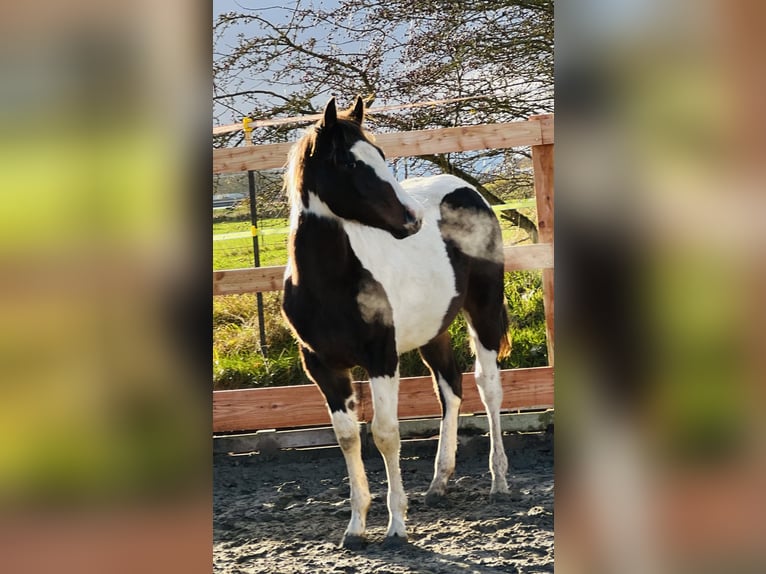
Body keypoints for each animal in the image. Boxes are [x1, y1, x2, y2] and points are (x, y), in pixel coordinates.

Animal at [284, 95, 516, 548]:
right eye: (350, 162)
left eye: (380, 154)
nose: (412, 219)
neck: (329, 284)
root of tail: (469, 193)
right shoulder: (321, 365)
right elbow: (347, 437)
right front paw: (355, 528)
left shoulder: (381, 357)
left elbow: (386, 433)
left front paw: (396, 525)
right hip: (433, 330)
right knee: (451, 388)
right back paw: (439, 483)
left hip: (483, 311)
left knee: (488, 387)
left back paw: (499, 481)